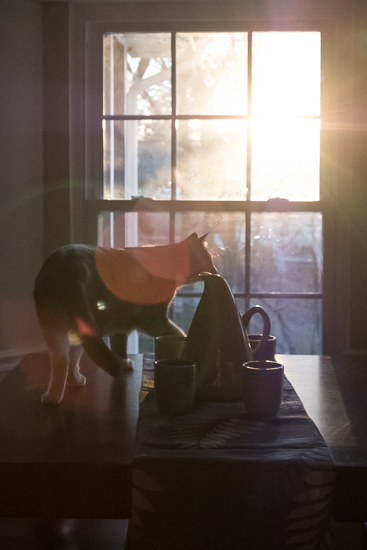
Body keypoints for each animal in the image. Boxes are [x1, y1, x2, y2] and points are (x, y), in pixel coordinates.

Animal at [33, 233, 217, 406]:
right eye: (208, 259)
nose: (215, 271)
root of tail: (69, 268)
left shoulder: (120, 324)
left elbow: (119, 345)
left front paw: (123, 363)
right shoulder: (152, 321)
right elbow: (178, 332)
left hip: (60, 330)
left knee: (62, 361)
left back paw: (55, 395)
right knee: (69, 359)